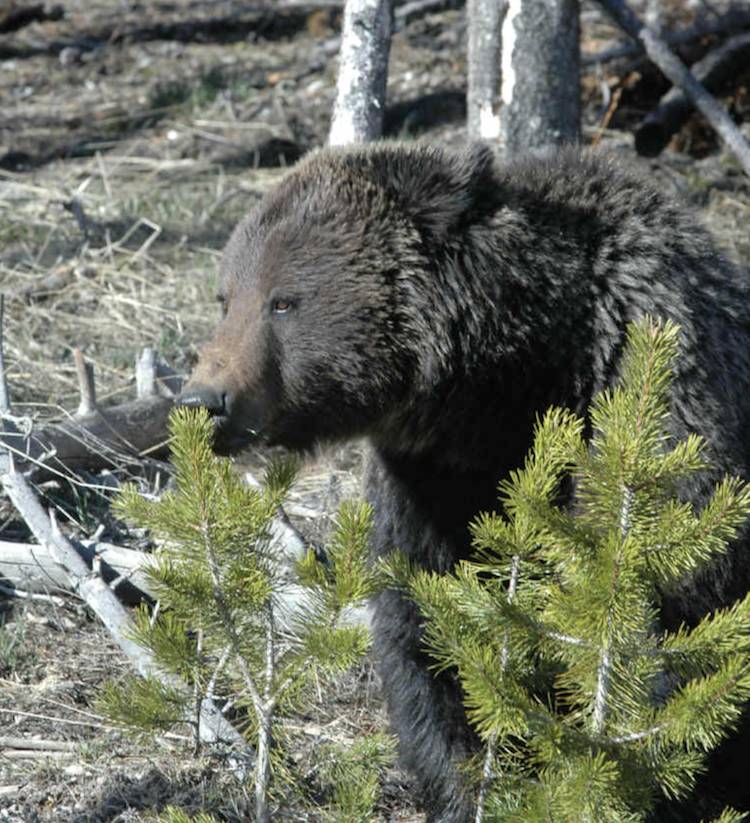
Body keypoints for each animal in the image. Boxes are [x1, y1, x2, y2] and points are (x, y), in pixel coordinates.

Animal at [179, 141, 750, 821]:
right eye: (226, 297)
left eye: (284, 300)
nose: (204, 400)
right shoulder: (430, 485)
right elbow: (431, 638)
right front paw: (468, 784)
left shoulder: (649, 412)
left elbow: (654, 637)